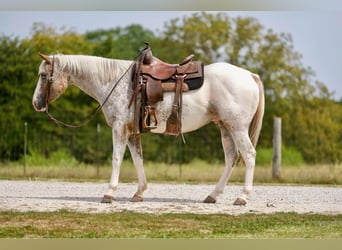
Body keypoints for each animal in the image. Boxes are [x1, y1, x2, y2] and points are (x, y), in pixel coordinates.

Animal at [32, 51, 264, 206]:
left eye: (43, 75)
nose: (36, 103)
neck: (113, 81)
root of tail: (250, 75)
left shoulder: (119, 128)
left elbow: (116, 158)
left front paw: (109, 193)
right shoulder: (132, 131)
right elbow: (138, 159)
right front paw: (139, 193)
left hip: (237, 127)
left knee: (249, 155)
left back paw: (242, 197)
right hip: (225, 127)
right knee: (231, 157)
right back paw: (212, 195)